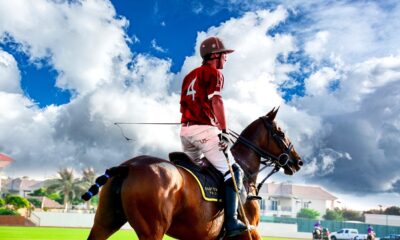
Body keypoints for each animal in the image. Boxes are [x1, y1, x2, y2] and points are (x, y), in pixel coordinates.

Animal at [84, 108, 304, 239]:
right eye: (281, 133)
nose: (298, 161)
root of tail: (128, 166)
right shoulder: (252, 231)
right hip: (152, 231)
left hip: (104, 222)